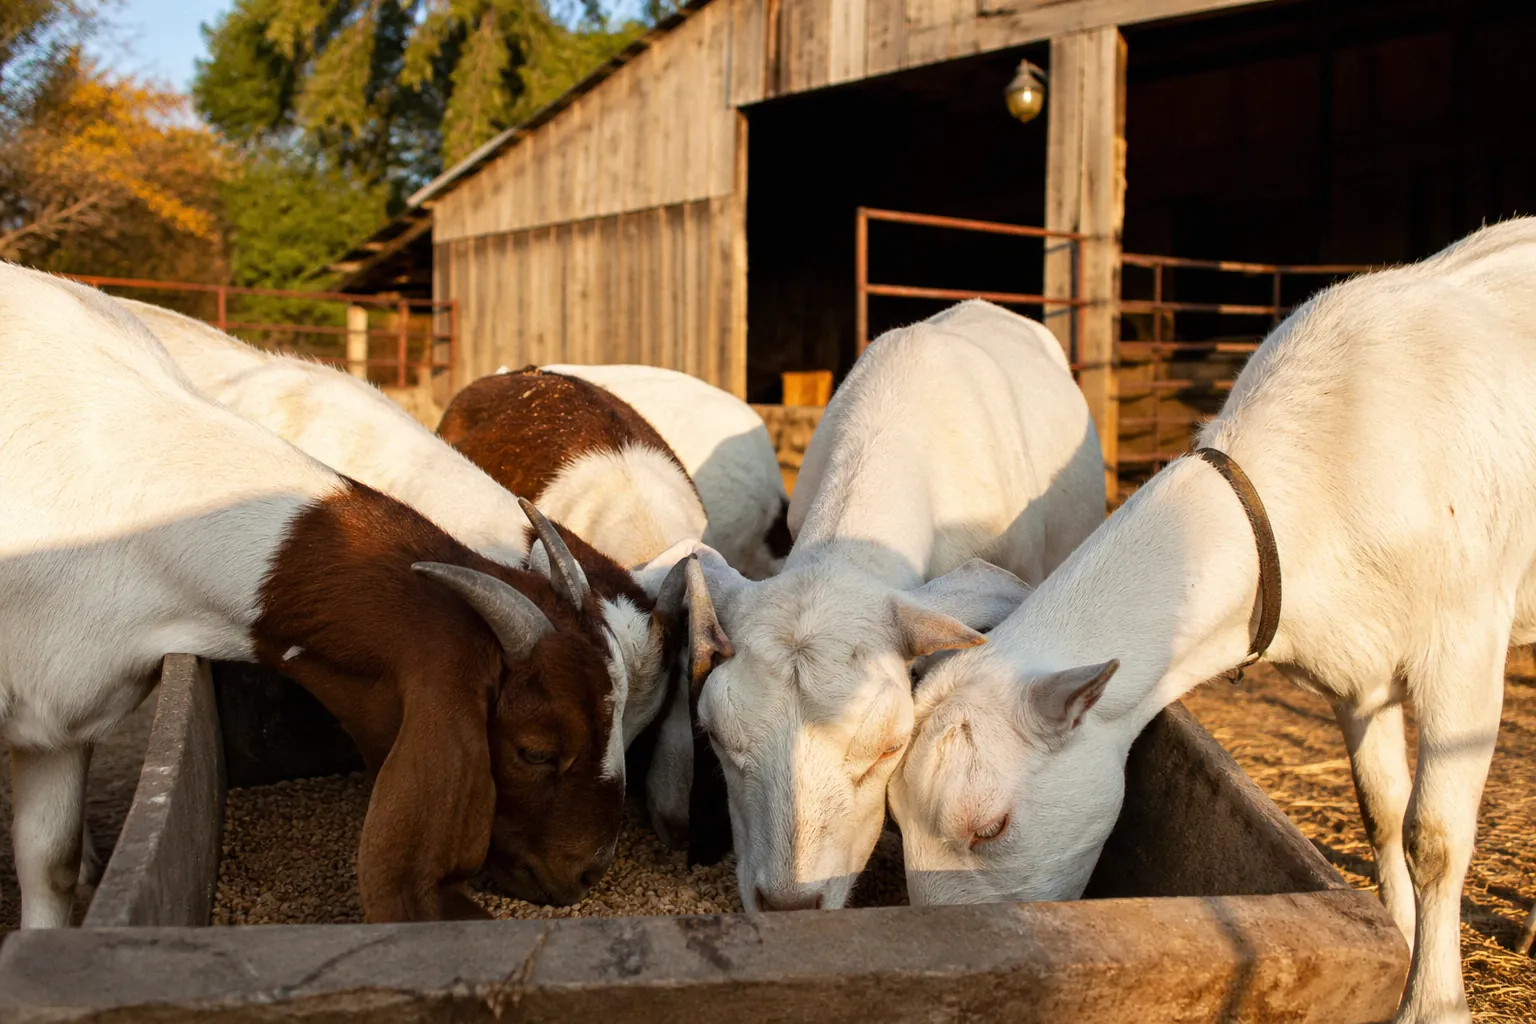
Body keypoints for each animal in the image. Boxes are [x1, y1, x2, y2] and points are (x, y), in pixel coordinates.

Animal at [889, 220, 1536, 1024]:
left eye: (990, 827)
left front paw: (1434, 1002)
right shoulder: (1357, 668)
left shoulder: (1465, 641)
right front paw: (1401, 940)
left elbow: (1434, 837)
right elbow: (1383, 812)